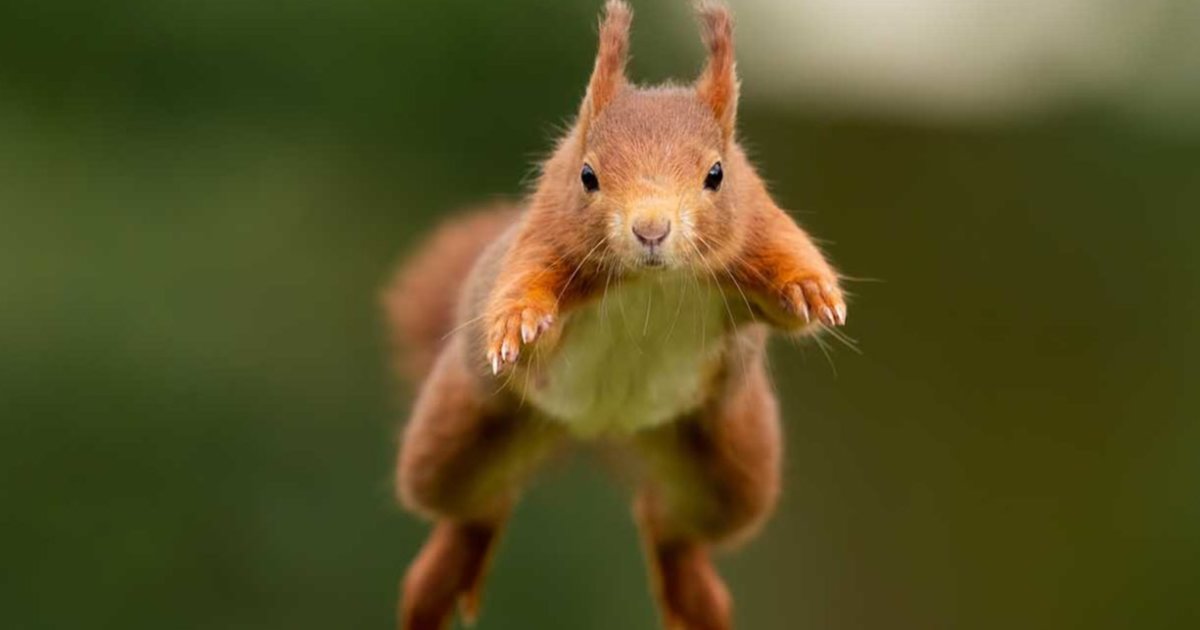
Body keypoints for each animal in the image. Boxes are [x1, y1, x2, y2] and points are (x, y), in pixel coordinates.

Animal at [383, 2, 847, 629]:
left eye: (718, 174)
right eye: (587, 175)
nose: (651, 229)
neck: (651, 282)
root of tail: (603, 430)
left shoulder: (757, 226)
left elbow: (789, 281)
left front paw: (811, 291)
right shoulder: (543, 238)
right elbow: (524, 288)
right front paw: (517, 323)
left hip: (731, 465)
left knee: (670, 523)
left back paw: (695, 597)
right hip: (460, 431)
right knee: (473, 506)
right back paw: (435, 586)